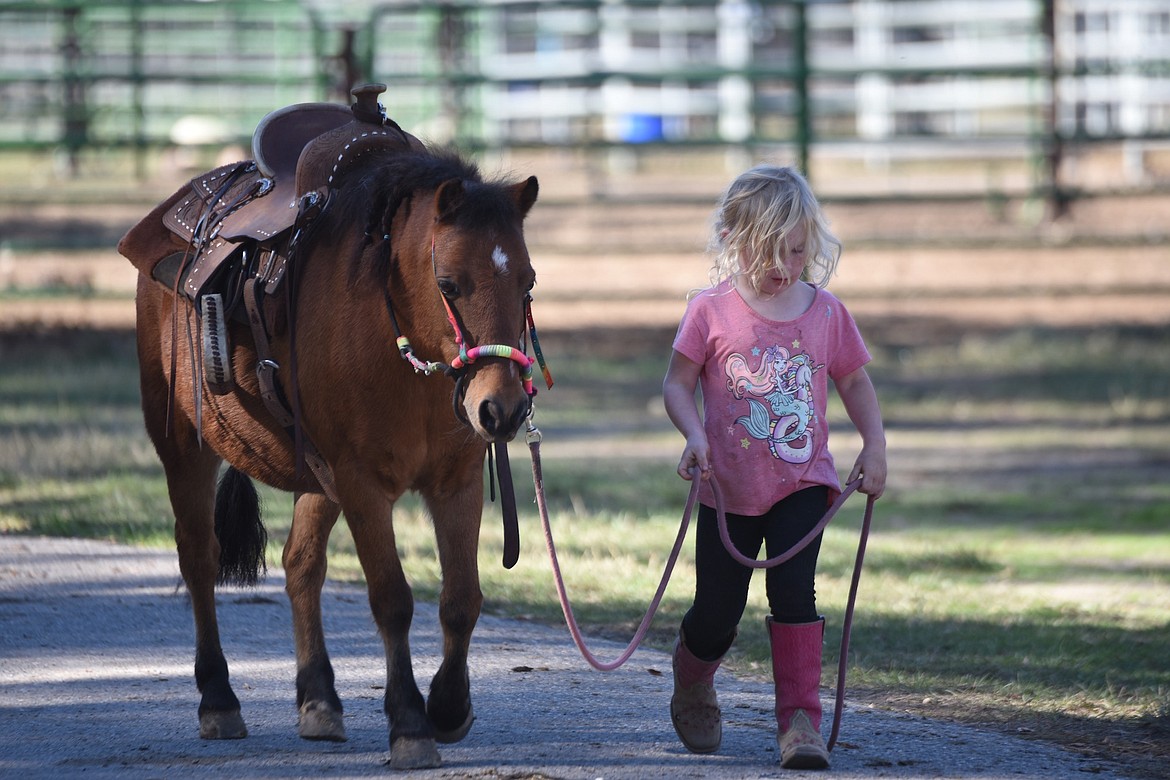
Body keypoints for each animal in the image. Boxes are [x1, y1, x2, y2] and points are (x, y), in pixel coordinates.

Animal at [121, 138, 540, 767]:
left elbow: (462, 598)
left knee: (301, 565)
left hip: (317, 477)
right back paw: (218, 698)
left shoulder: (455, 483)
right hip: (183, 447)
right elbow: (392, 599)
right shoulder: (363, 484)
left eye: (528, 283)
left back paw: (318, 698)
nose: (503, 408)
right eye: (449, 284)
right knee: (199, 557)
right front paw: (410, 723)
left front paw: (448, 706)